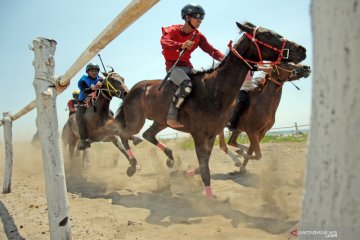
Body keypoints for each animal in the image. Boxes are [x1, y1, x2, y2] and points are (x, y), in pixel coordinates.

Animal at [114, 21, 306, 198]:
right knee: (124, 134)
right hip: (136, 120)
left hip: (162, 121)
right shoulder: (200, 134)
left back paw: (169, 158)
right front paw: (209, 196)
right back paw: (132, 166)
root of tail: (131, 90)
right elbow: (206, 166)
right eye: (267, 35)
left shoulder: (213, 134)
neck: (214, 91)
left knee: (148, 134)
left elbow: (206, 162)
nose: (302, 50)